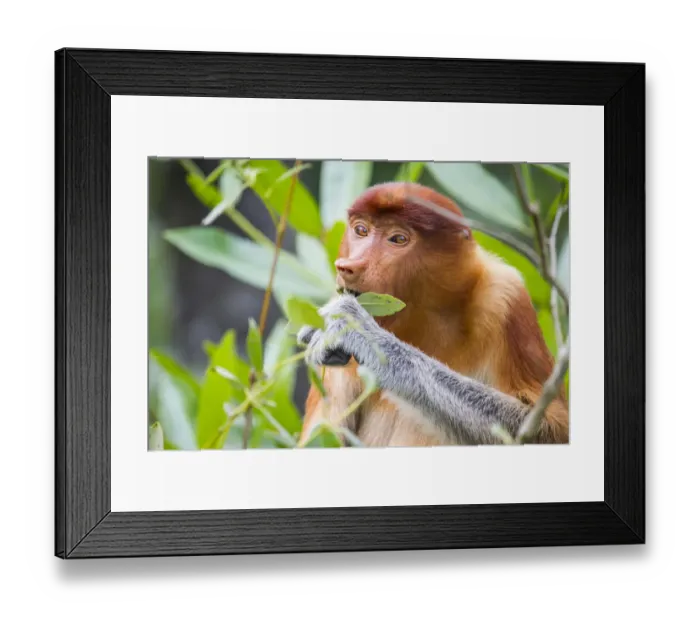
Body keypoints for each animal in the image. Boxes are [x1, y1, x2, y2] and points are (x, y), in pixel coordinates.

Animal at [296, 182, 569, 447]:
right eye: (361, 230)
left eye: (398, 238)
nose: (348, 267)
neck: (427, 314)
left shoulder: (506, 296)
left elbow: (551, 427)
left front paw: (361, 333)